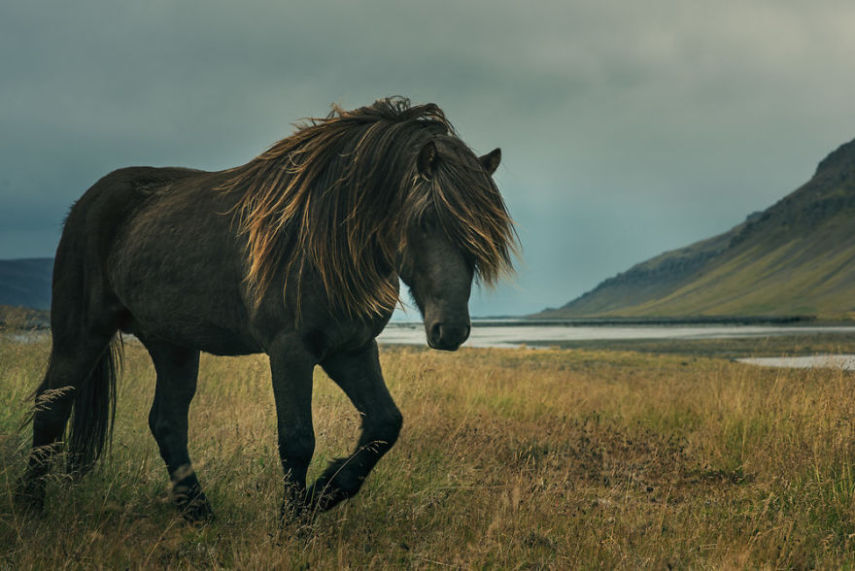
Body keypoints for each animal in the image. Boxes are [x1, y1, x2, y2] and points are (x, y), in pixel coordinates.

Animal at [16, 97, 520, 524]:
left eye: (484, 235)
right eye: (426, 219)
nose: (450, 330)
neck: (326, 240)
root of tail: (86, 203)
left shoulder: (352, 349)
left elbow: (384, 425)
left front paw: (324, 494)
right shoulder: (290, 350)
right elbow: (297, 439)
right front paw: (294, 522)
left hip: (172, 344)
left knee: (167, 421)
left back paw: (199, 513)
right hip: (82, 332)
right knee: (51, 406)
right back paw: (32, 509)